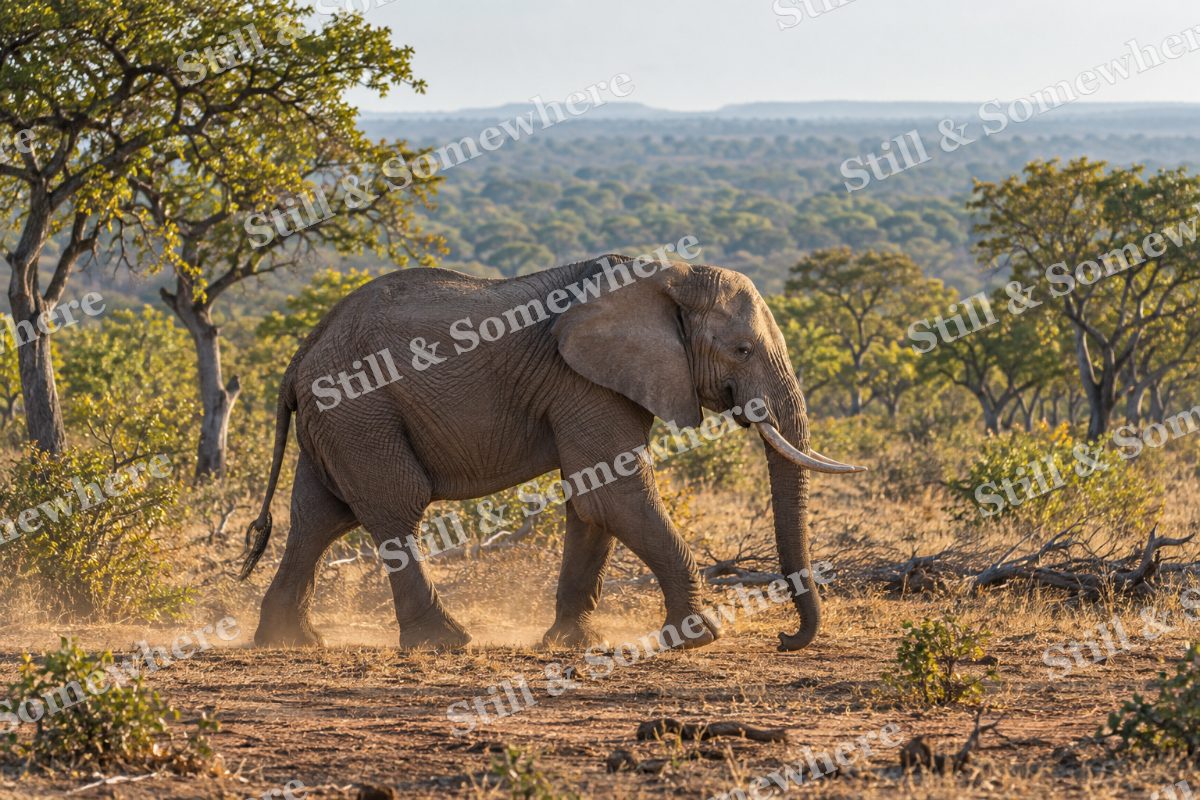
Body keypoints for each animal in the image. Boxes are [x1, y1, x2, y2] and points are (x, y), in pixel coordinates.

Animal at [241, 253, 865, 652]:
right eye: (741, 350)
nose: (786, 640)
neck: (667, 277)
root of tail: (300, 358)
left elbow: (592, 503)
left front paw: (571, 641)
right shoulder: (583, 382)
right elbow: (616, 496)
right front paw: (701, 638)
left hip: (338, 421)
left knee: (319, 517)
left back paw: (289, 642)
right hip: (359, 411)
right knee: (394, 508)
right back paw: (445, 642)